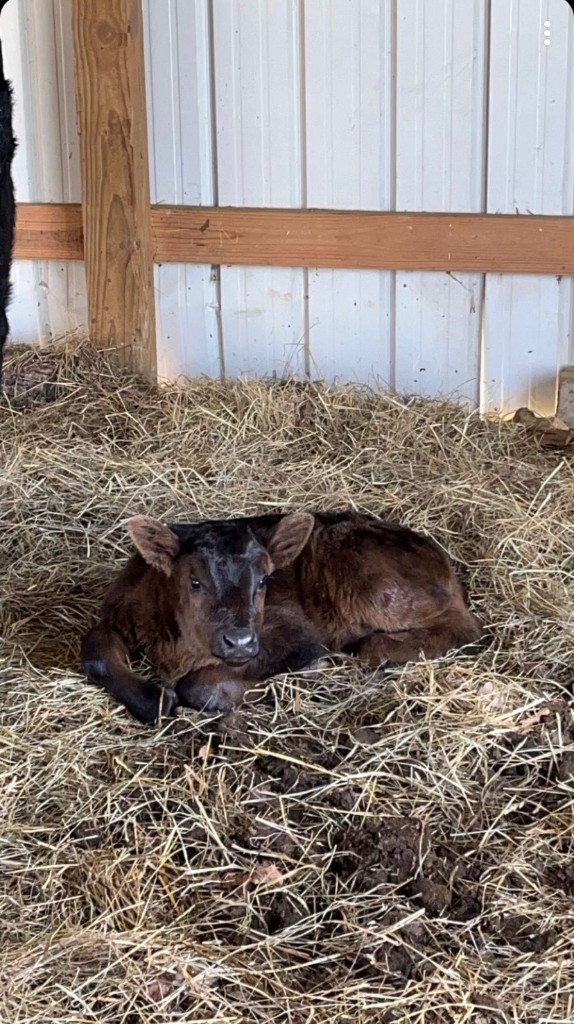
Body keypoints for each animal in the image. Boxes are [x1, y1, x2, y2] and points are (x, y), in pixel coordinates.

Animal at [81, 510, 482, 725]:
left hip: (374, 585)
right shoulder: (118, 610)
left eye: (263, 581)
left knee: (467, 630)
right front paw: (155, 701)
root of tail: (441, 560)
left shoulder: (296, 633)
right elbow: (94, 652)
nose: (240, 641)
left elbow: (200, 686)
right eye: (194, 581)